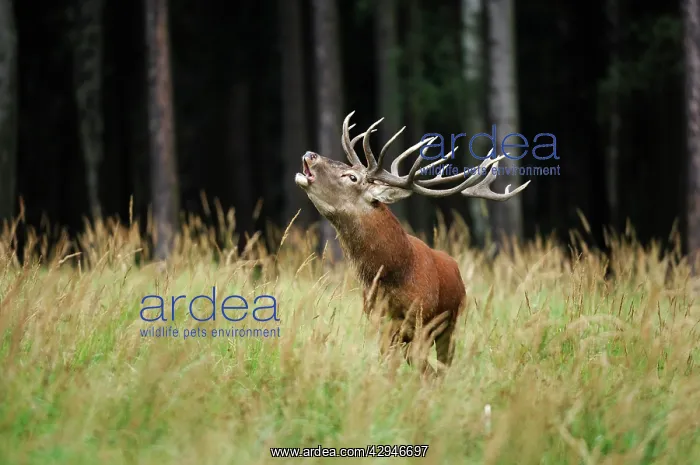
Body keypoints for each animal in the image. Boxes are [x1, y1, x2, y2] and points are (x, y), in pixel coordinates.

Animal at [294, 111, 530, 376]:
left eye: (352, 177)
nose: (310, 154)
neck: (394, 278)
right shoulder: (378, 323)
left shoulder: (423, 323)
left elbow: (424, 370)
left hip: (453, 321)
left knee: (442, 365)